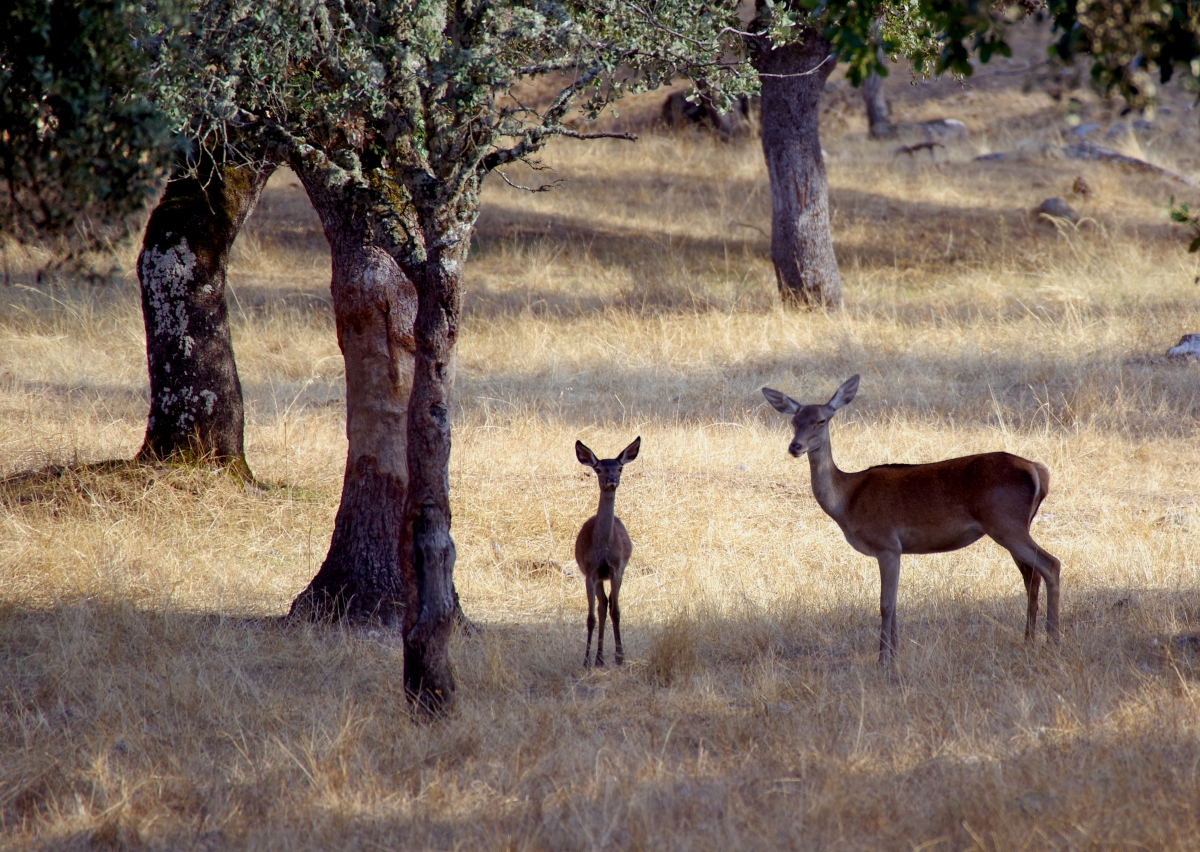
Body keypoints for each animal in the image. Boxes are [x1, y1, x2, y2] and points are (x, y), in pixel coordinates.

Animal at [576, 441, 643, 667]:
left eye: (620, 467)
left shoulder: (617, 570)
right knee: (601, 605)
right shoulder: (590, 573)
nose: (611, 479)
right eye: (598, 469)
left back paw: (602, 657)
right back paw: (597, 658)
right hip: (596, 577)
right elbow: (590, 618)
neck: (604, 551)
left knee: (608, 604)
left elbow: (616, 611)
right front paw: (586, 660)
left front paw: (620, 656)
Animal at [763, 376, 1065, 662]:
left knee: (1050, 564)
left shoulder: (886, 543)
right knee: (1031, 574)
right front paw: (895, 654)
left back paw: (1053, 640)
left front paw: (883, 660)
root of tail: (1038, 470)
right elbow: (895, 604)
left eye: (821, 420)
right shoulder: (895, 549)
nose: (795, 446)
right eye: (793, 421)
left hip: (1005, 522)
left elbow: (885, 604)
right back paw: (1029, 640)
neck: (847, 500)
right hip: (1016, 524)